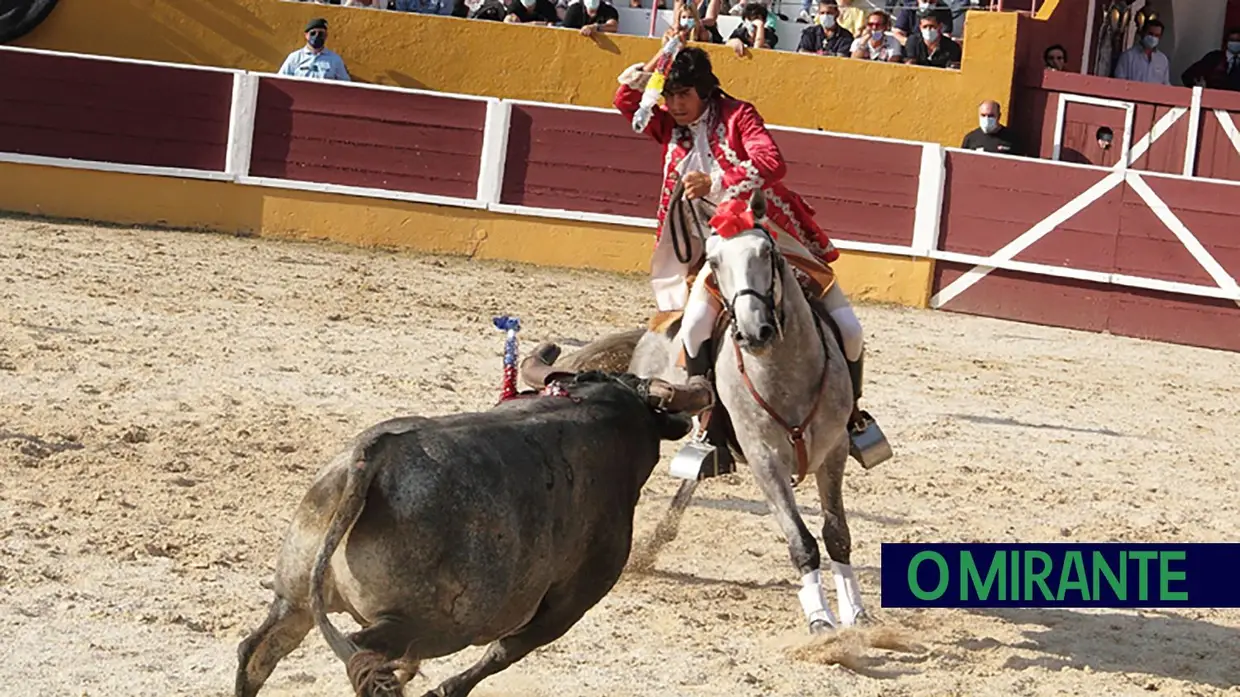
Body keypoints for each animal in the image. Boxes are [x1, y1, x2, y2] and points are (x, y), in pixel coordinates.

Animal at [235, 354, 714, 694]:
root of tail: (373, 455)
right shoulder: (569, 604)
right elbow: (502, 653)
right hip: (419, 624)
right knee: (366, 658)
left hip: (294, 596)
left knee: (259, 652)